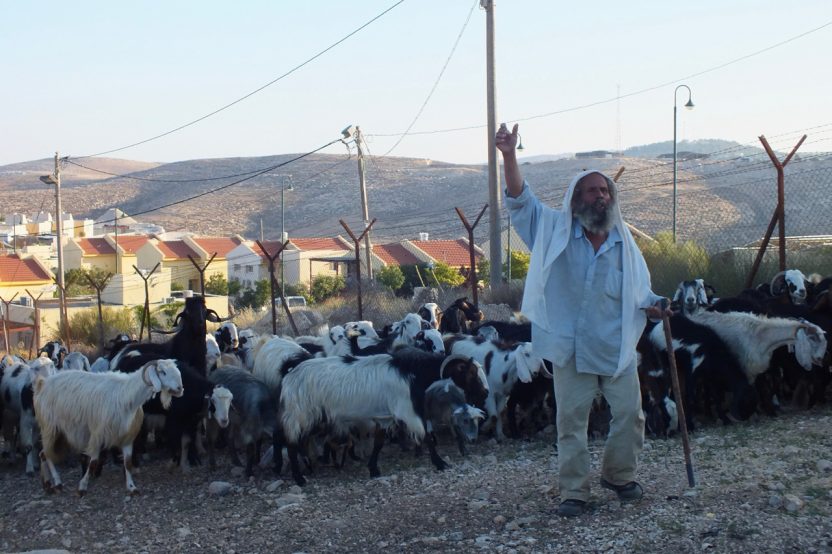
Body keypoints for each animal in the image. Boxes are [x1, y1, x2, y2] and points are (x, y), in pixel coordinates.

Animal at [34, 358, 184, 496]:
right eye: (163, 372)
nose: (180, 389)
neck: (127, 396)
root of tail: (43, 383)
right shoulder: (97, 435)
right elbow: (93, 462)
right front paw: (82, 487)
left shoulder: (127, 438)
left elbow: (128, 463)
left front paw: (131, 487)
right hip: (49, 427)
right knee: (47, 453)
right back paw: (57, 483)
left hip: (59, 432)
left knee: (43, 454)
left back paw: (47, 484)